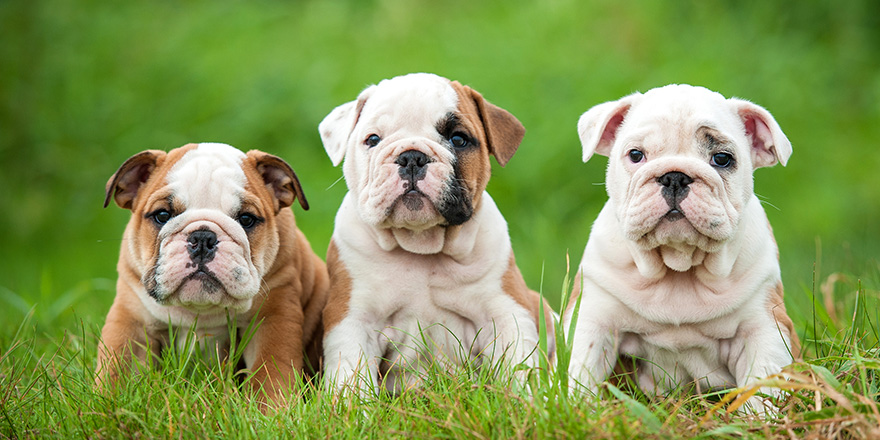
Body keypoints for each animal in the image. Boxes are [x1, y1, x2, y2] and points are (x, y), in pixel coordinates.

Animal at [97, 144, 330, 406]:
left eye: (246, 219)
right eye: (162, 215)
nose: (202, 238)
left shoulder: (272, 319)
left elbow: (270, 371)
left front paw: (270, 409)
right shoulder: (132, 320)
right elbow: (118, 367)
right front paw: (106, 404)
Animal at [568, 85, 800, 410]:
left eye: (722, 159)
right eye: (636, 155)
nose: (674, 176)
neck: (678, 265)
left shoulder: (764, 325)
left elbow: (764, 383)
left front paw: (760, 417)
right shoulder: (592, 317)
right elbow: (580, 371)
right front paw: (575, 407)